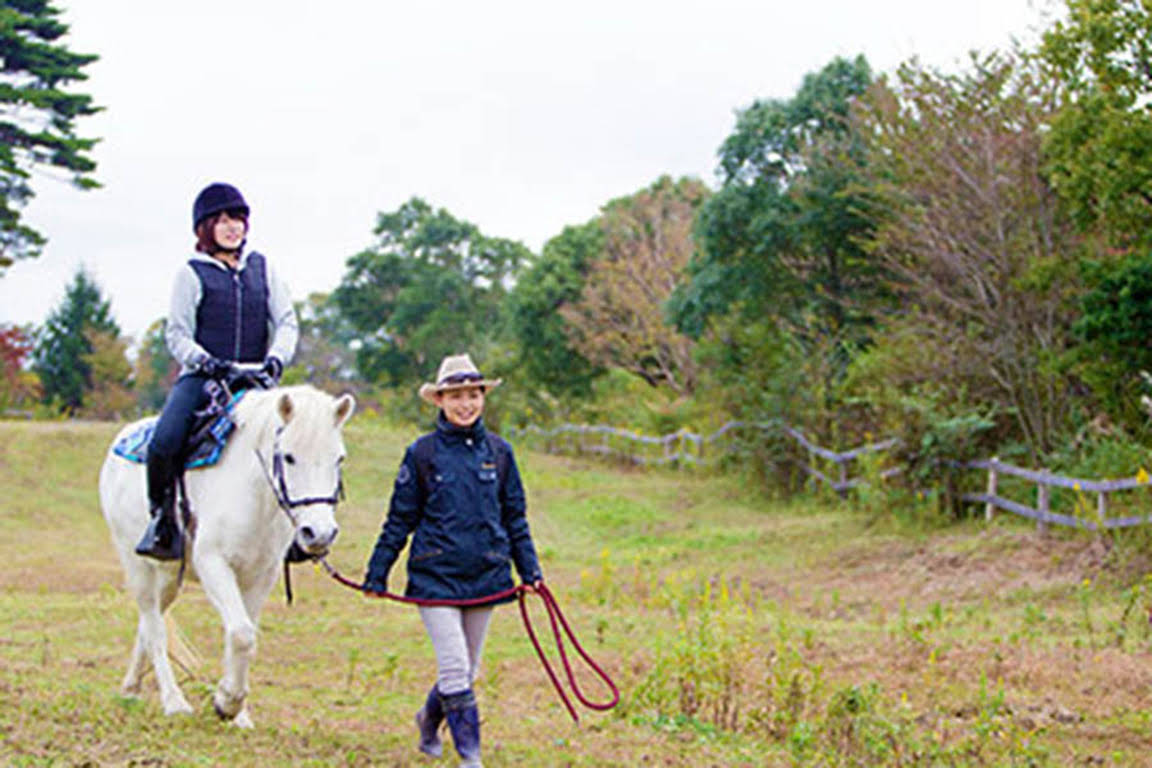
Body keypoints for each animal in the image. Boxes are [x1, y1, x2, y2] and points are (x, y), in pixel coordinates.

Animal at [99, 384, 354, 727]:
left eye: (338, 458)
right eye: (289, 457)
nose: (319, 533)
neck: (253, 493)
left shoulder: (261, 575)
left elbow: (244, 633)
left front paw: (239, 713)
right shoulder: (214, 564)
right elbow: (242, 633)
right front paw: (227, 702)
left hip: (168, 576)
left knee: (149, 623)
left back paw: (130, 689)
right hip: (136, 564)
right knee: (153, 626)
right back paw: (174, 702)